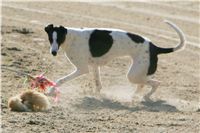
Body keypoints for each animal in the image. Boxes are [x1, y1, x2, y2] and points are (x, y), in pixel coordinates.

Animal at [44, 20, 185, 101]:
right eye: (51, 39)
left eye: (59, 39)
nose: (53, 53)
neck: (70, 37)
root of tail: (154, 47)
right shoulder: (94, 66)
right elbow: (98, 84)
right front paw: (96, 94)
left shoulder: (82, 69)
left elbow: (60, 80)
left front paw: (50, 91)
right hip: (139, 73)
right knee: (143, 84)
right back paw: (137, 96)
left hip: (133, 75)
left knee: (155, 83)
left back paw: (144, 96)